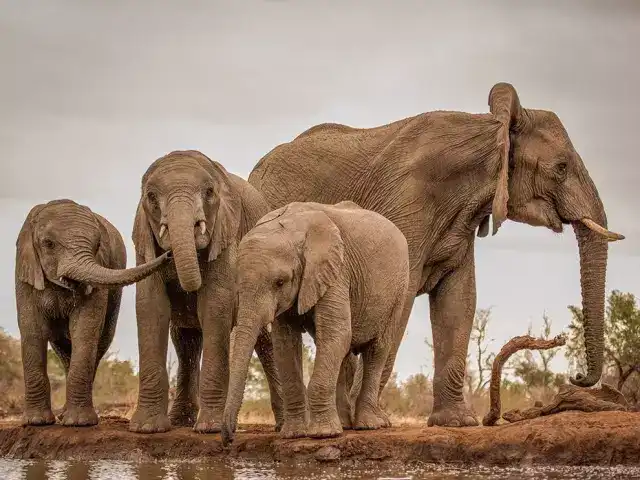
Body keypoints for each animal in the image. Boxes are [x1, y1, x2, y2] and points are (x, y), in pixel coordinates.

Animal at [16, 199, 172, 428]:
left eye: (97, 245)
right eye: (48, 243)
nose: (169, 254)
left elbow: (85, 328)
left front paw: (79, 423)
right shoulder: (24, 273)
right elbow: (32, 329)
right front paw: (36, 422)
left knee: (98, 342)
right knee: (62, 348)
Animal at [127, 150, 282, 436]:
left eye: (209, 192)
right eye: (151, 197)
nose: (168, 255)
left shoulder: (226, 232)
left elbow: (215, 303)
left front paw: (210, 428)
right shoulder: (144, 244)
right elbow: (150, 306)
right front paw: (146, 428)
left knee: (266, 341)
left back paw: (284, 424)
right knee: (185, 341)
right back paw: (180, 421)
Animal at [221, 200, 410, 442]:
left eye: (280, 282)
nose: (229, 438)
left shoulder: (336, 271)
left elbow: (336, 332)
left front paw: (323, 435)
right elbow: (285, 344)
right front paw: (293, 434)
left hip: (399, 290)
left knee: (377, 349)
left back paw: (368, 426)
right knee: (343, 352)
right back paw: (345, 424)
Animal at [249, 81, 624, 428]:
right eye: (561, 168)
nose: (577, 377)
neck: (490, 129)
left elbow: (460, 300)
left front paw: (457, 422)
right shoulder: (406, 204)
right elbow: (403, 299)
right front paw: (371, 423)